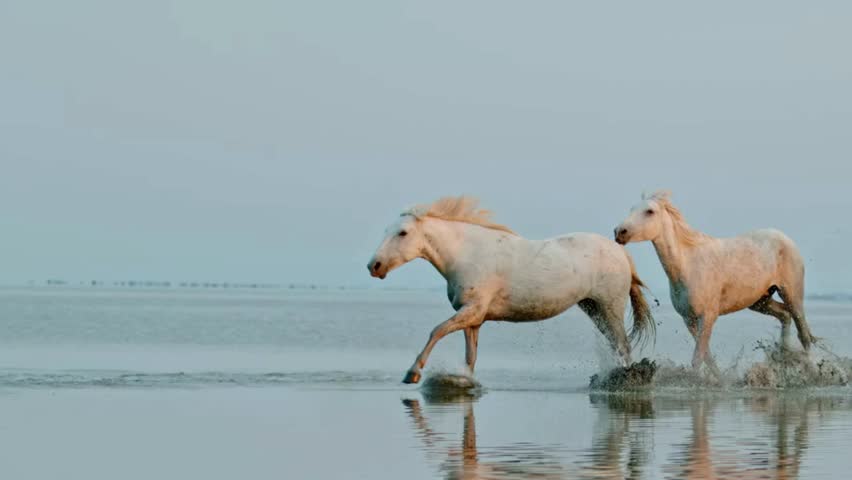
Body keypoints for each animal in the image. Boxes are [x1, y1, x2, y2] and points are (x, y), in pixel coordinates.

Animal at [367, 195, 655, 384]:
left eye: (403, 233)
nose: (374, 265)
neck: (466, 253)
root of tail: (620, 251)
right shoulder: (474, 319)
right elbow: (470, 357)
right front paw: (464, 381)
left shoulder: (471, 311)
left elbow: (436, 330)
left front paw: (412, 373)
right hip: (593, 307)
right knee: (616, 345)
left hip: (610, 307)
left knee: (623, 345)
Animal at [613, 190, 815, 378]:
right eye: (631, 209)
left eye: (650, 211)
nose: (619, 232)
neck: (688, 266)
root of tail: (784, 238)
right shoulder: (689, 319)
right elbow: (706, 355)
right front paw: (718, 379)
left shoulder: (708, 316)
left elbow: (698, 357)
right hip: (760, 301)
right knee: (784, 316)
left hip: (791, 295)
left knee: (803, 333)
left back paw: (811, 372)